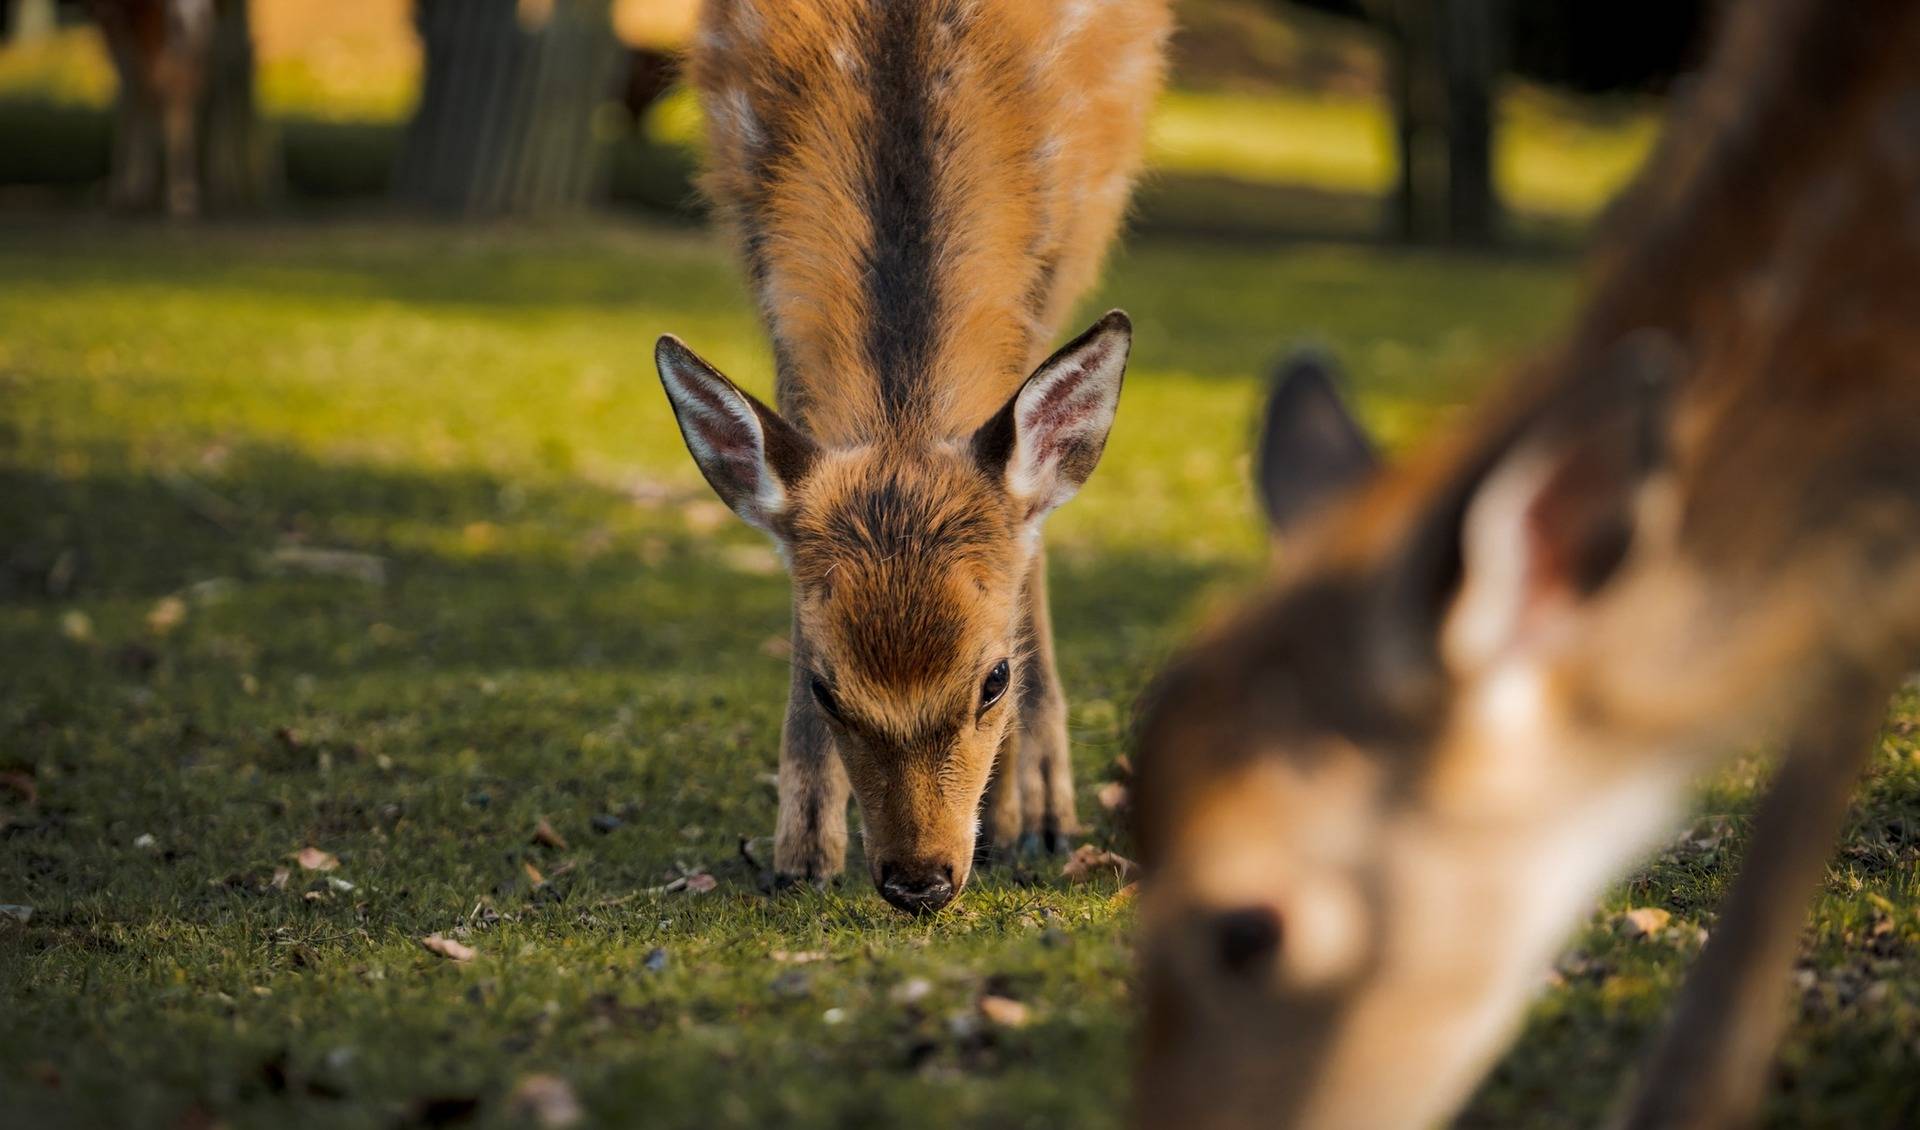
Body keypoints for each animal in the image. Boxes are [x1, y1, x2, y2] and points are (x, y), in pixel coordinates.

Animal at [656, 0, 1167, 913]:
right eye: (825, 686)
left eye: (994, 677)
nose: (919, 878)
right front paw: (801, 849)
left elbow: (1030, 532)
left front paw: (1029, 815)